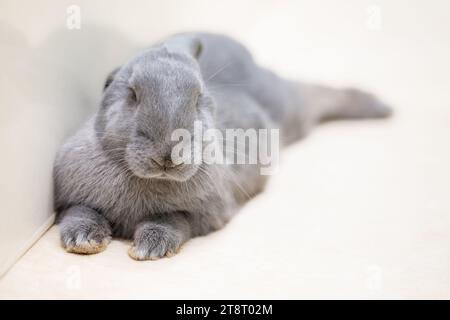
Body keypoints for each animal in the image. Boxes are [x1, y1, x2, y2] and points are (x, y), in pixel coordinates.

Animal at [53, 31, 390, 260]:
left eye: (199, 98)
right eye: (132, 94)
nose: (168, 154)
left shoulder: (205, 213)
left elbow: (173, 220)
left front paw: (150, 249)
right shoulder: (72, 199)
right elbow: (79, 212)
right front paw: (83, 241)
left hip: (291, 107)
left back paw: (378, 106)